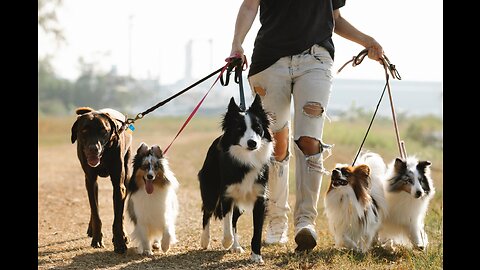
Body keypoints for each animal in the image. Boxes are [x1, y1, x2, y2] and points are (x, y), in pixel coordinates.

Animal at [70, 107, 133, 253]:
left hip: (127, 175)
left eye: (103, 131)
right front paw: (97, 239)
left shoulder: (119, 185)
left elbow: (117, 219)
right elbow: (95, 213)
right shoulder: (90, 180)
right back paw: (91, 228)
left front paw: (120, 242)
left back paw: (124, 234)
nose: (94, 149)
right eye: (84, 131)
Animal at [198, 95, 272, 264]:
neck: (246, 159)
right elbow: (226, 224)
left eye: (258, 128)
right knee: (207, 212)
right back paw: (205, 240)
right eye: (239, 129)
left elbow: (257, 231)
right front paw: (226, 242)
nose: (252, 143)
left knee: (234, 220)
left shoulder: (260, 198)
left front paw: (256, 256)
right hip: (211, 189)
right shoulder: (227, 195)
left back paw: (236, 246)